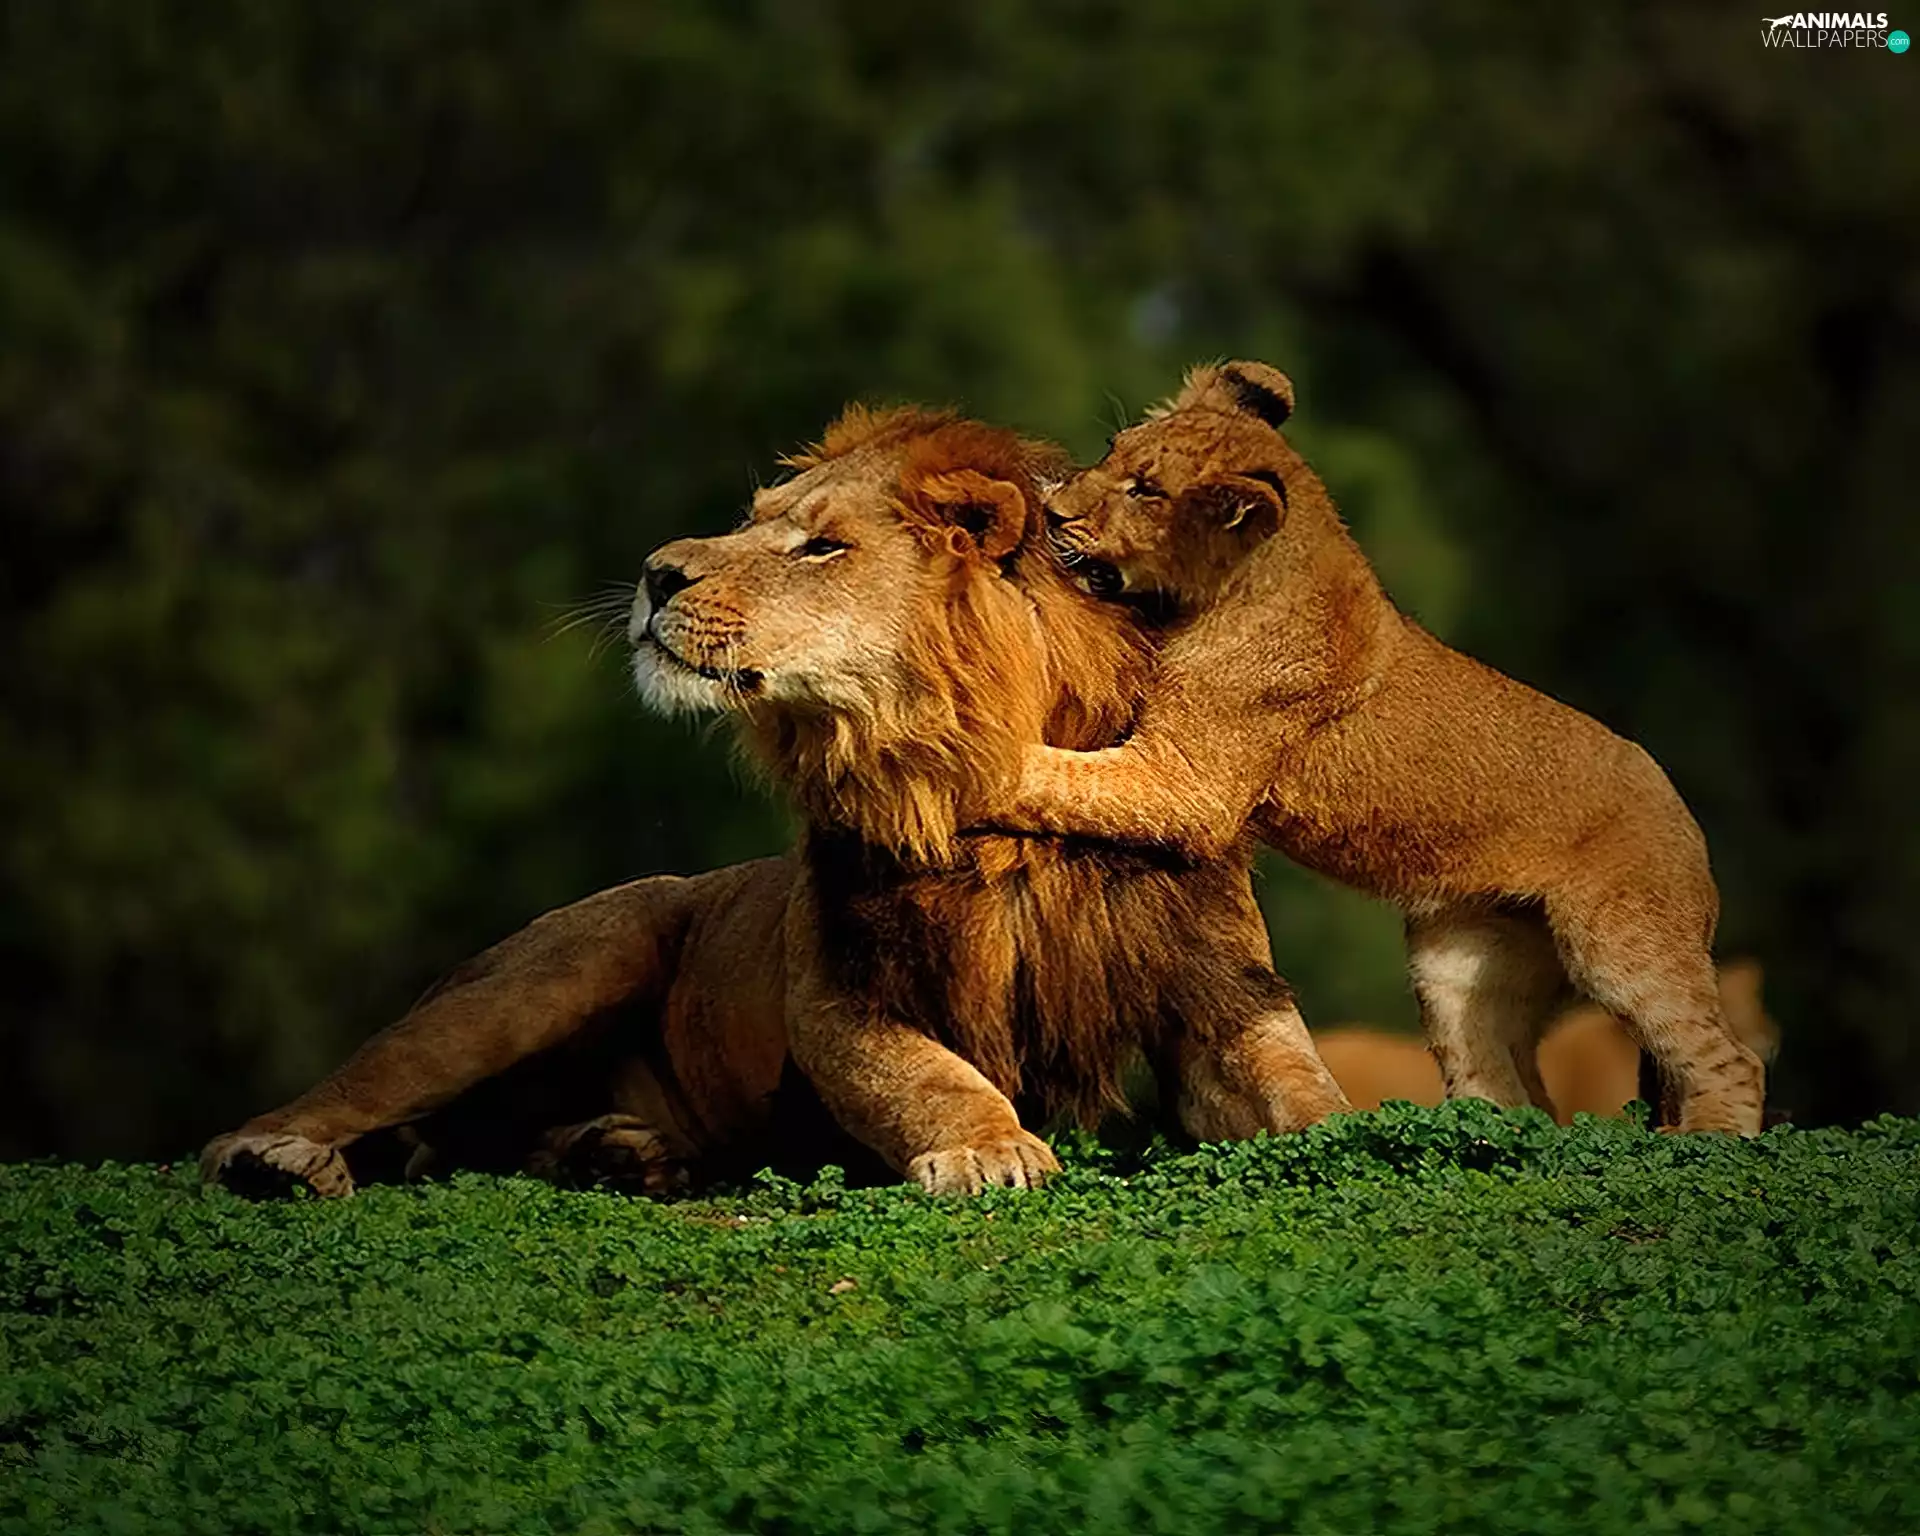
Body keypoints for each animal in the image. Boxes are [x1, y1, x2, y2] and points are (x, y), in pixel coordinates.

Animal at [202, 404, 1350, 1200]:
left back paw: (621, 1155)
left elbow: (1299, 1084)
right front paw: (991, 1151)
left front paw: (1360, 1133)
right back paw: (276, 1159)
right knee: (337, 1099)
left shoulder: (1223, 991)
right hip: (545, 974)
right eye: (748, 525)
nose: (654, 572)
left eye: (822, 545)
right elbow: (929, 1078)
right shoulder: (838, 996)